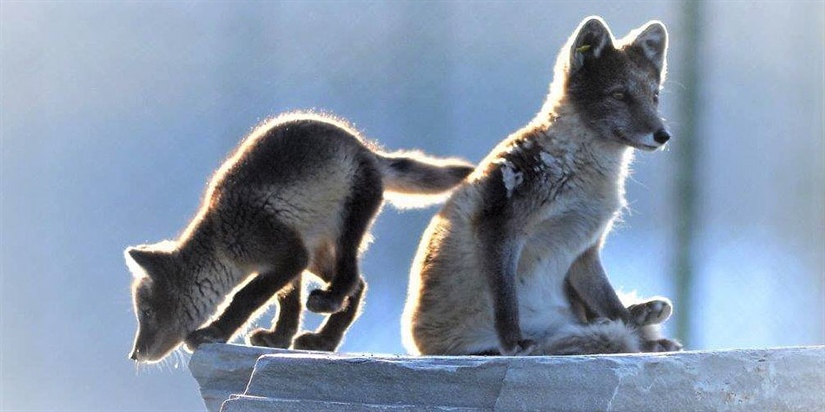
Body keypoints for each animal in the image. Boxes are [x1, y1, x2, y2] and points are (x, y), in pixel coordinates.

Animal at [125, 111, 474, 362]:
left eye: (147, 313)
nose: (134, 355)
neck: (222, 239)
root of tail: (366, 149)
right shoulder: (291, 262)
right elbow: (288, 305)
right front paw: (279, 339)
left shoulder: (286, 256)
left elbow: (245, 298)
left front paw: (214, 332)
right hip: (316, 253)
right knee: (360, 284)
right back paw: (324, 341)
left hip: (344, 230)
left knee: (351, 278)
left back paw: (328, 303)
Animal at [402, 17, 680, 356]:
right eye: (619, 95)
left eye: (654, 97)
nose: (663, 135)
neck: (580, 175)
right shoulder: (499, 227)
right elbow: (506, 301)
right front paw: (513, 342)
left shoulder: (585, 249)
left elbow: (612, 305)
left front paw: (639, 334)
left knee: (596, 318)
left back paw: (645, 320)